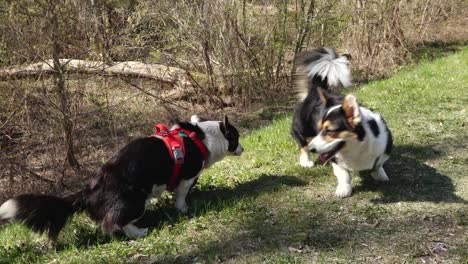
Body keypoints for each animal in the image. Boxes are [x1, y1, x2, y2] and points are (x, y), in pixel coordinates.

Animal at [0, 115, 245, 239]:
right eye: (236, 138)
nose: (242, 149)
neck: (201, 137)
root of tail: (89, 190)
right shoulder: (187, 178)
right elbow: (182, 196)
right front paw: (184, 209)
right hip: (134, 201)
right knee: (114, 222)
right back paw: (138, 232)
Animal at [290, 47, 394, 197]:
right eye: (320, 129)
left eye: (330, 131)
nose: (312, 148)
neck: (356, 147)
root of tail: (315, 90)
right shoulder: (335, 160)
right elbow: (343, 174)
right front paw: (344, 189)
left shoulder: (384, 147)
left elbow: (378, 165)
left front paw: (380, 175)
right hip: (302, 127)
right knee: (301, 141)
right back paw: (306, 160)